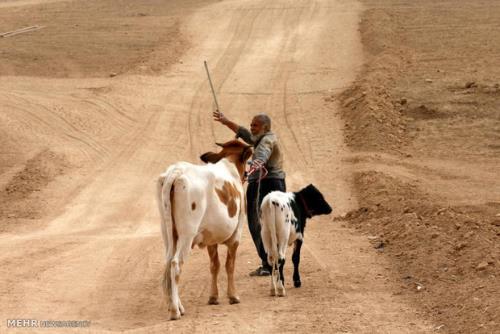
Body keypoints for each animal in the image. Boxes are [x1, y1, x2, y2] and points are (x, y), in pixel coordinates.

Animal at [156, 140, 252, 320]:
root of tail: (176, 171)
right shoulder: (237, 234)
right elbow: (229, 265)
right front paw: (233, 296)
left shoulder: (210, 238)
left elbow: (215, 265)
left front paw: (213, 297)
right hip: (187, 235)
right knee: (175, 264)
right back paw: (174, 311)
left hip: (168, 233)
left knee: (168, 264)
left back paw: (177, 306)